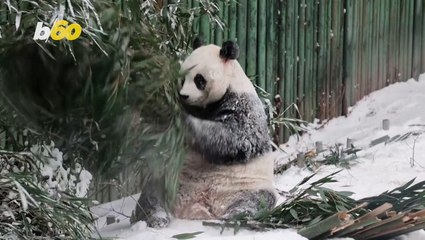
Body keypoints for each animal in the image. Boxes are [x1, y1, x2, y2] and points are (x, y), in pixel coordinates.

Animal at [174, 38, 276, 220]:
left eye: (199, 80)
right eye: (183, 78)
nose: (184, 95)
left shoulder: (242, 103)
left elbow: (235, 138)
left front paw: (182, 119)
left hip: (247, 187)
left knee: (255, 202)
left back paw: (232, 216)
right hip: (182, 182)